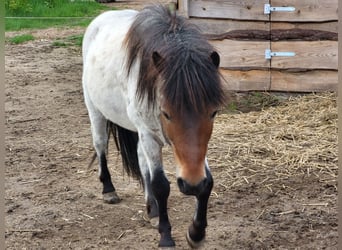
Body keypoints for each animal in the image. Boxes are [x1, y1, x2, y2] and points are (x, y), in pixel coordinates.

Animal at [81, 4, 226, 248]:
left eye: (213, 112)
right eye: (166, 113)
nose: (191, 185)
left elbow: (208, 182)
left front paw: (196, 233)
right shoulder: (149, 135)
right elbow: (160, 185)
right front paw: (166, 236)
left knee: (140, 159)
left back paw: (153, 208)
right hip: (97, 112)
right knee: (101, 146)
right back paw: (109, 190)